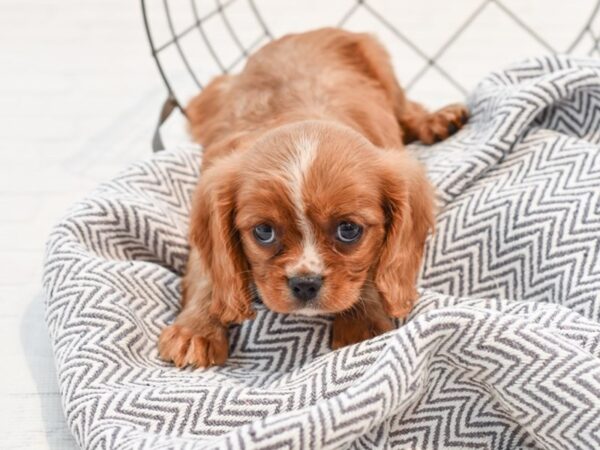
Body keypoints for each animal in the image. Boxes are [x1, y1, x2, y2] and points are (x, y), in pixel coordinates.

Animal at [161, 26, 468, 368]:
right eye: (263, 232)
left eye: (349, 230)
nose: (305, 283)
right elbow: (208, 274)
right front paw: (196, 330)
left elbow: (374, 269)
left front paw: (363, 324)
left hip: (380, 64)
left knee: (406, 108)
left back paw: (437, 120)